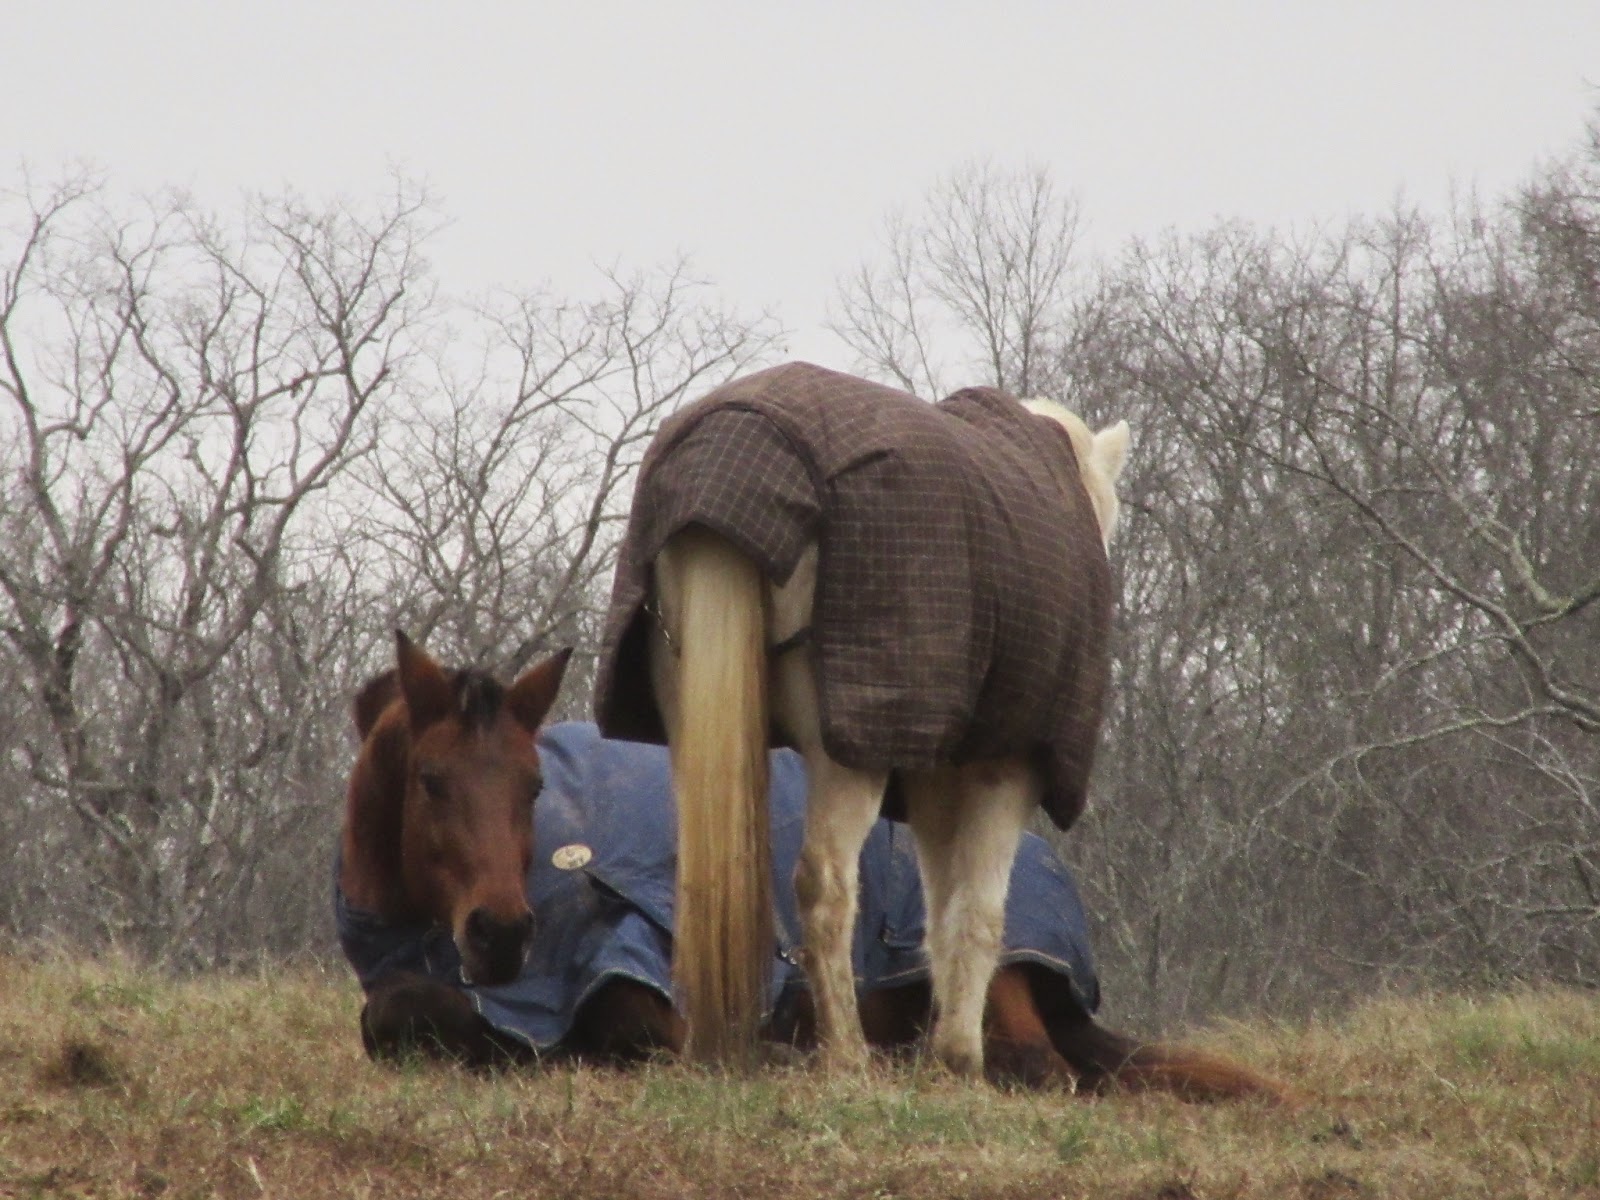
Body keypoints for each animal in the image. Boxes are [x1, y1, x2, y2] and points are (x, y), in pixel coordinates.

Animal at [343, 635, 1286, 1099]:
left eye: (533, 785)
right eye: (430, 781)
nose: (502, 934)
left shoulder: (654, 990)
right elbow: (396, 1015)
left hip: (989, 974)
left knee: (1027, 1063)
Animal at [594, 362, 1134, 1077]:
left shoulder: (933, 775)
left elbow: (941, 908)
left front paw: (945, 1047)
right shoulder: (1005, 768)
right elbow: (980, 911)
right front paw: (961, 1055)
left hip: (696, 730)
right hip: (845, 753)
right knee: (823, 884)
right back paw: (847, 1054)